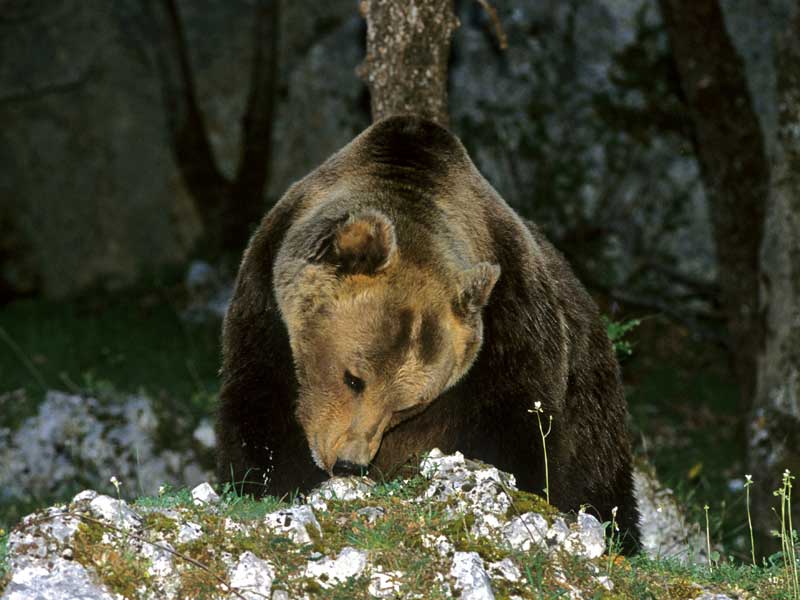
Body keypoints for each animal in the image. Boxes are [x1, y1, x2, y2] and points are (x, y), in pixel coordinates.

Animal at [216, 115, 640, 551]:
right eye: (354, 378)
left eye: (405, 407)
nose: (349, 462)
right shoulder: (266, 303)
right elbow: (260, 406)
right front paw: (272, 482)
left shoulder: (512, 333)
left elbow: (522, 435)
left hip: (590, 401)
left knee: (601, 482)